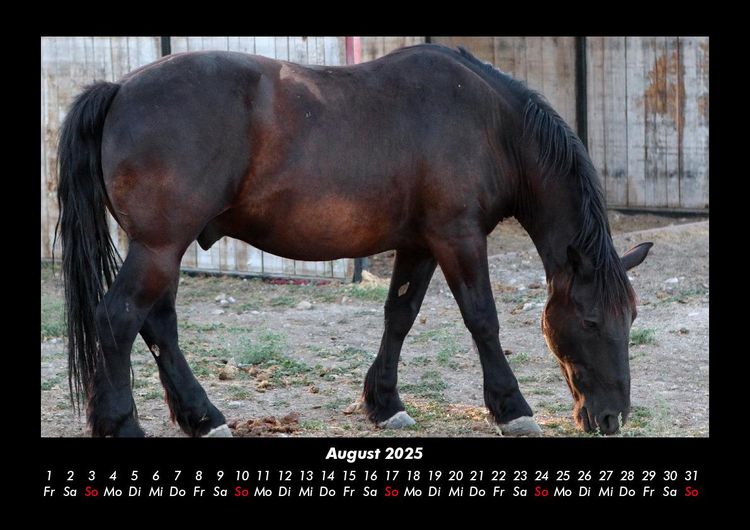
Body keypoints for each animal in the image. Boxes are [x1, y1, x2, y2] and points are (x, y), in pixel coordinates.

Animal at [56, 44, 652, 438]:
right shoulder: (458, 238)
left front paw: (385, 403)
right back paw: (123, 424)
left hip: (162, 249)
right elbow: (483, 318)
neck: (490, 124)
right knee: (118, 319)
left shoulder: (420, 244)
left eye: (630, 318)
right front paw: (512, 408)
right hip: (159, 247)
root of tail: (119, 89)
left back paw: (201, 418)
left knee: (157, 325)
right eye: (591, 321)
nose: (611, 417)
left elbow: (399, 315)